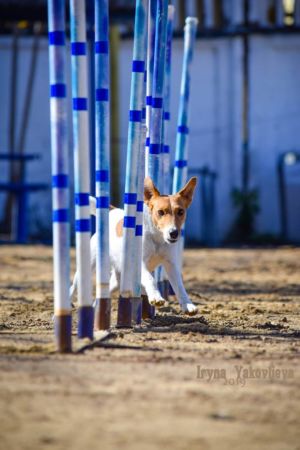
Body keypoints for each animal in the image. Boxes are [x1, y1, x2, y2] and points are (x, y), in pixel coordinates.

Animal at [69, 177, 197, 316]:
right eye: (160, 212)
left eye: (180, 211)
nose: (173, 233)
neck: (156, 238)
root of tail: (113, 211)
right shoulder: (139, 263)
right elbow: (150, 279)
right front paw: (156, 297)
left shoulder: (171, 265)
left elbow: (179, 286)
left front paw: (188, 305)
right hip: (87, 267)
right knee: (72, 287)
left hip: (118, 279)